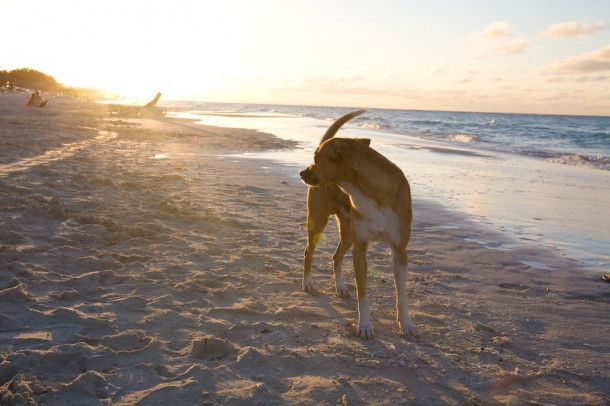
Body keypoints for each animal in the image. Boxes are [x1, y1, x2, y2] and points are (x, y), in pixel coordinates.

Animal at [300, 110, 364, 298]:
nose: (303, 174)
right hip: (318, 221)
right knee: (309, 252)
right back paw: (308, 282)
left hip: (348, 232)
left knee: (337, 257)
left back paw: (340, 287)